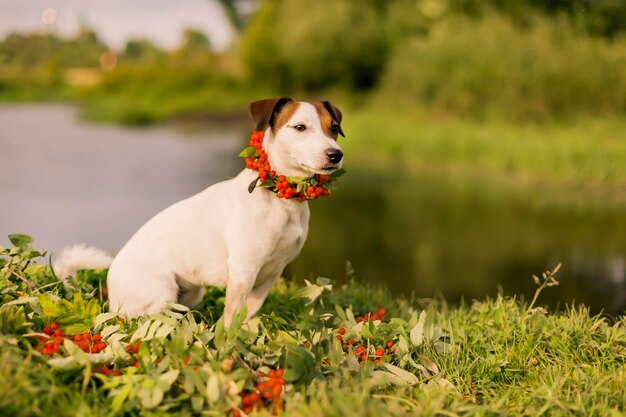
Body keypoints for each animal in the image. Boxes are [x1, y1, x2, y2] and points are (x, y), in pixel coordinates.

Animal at [54, 97, 344, 324]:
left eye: (334, 128)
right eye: (300, 127)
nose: (336, 154)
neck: (280, 200)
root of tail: (108, 288)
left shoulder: (270, 275)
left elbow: (248, 316)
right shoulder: (243, 271)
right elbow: (232, 317)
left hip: (192, 292)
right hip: (162, 289)